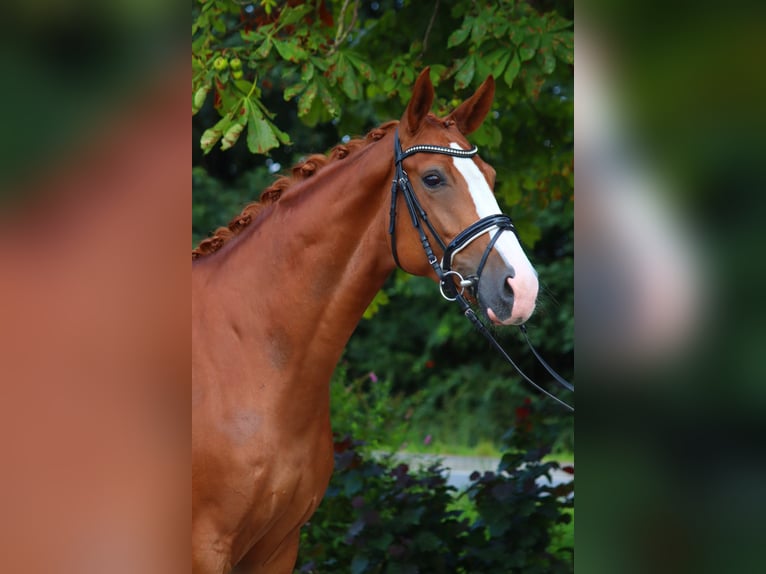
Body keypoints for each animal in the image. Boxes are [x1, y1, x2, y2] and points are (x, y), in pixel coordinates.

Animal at [192, 70, 540, 572]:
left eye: (491, 177)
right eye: (432, 178)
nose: (523, 288)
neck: (248, 359)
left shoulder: (277, 547)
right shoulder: (205, 547)